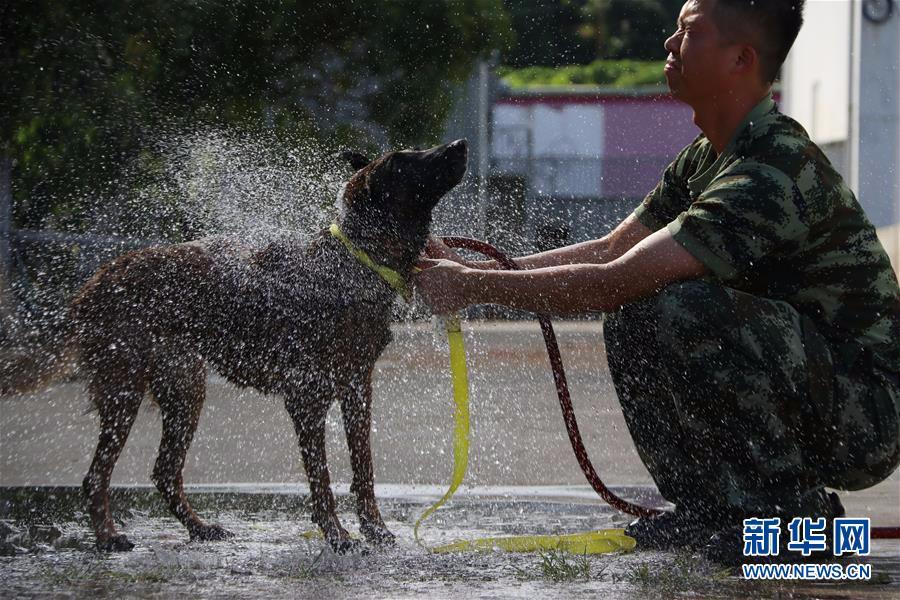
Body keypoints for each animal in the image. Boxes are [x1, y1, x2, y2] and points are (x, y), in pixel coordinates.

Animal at [7, 139, 468, 552]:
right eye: (404, 163)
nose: (461, 144)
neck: (355, 261)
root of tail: (95, 279)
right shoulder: (307, 396)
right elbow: (321, 478)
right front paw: (337, 536)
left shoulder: (357, 387)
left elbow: (364, 468)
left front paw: (375, 529)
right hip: (124, 390)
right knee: (97, 476)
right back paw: (108, 537)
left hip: (185, 388)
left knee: (164, 471)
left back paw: (199, 528)